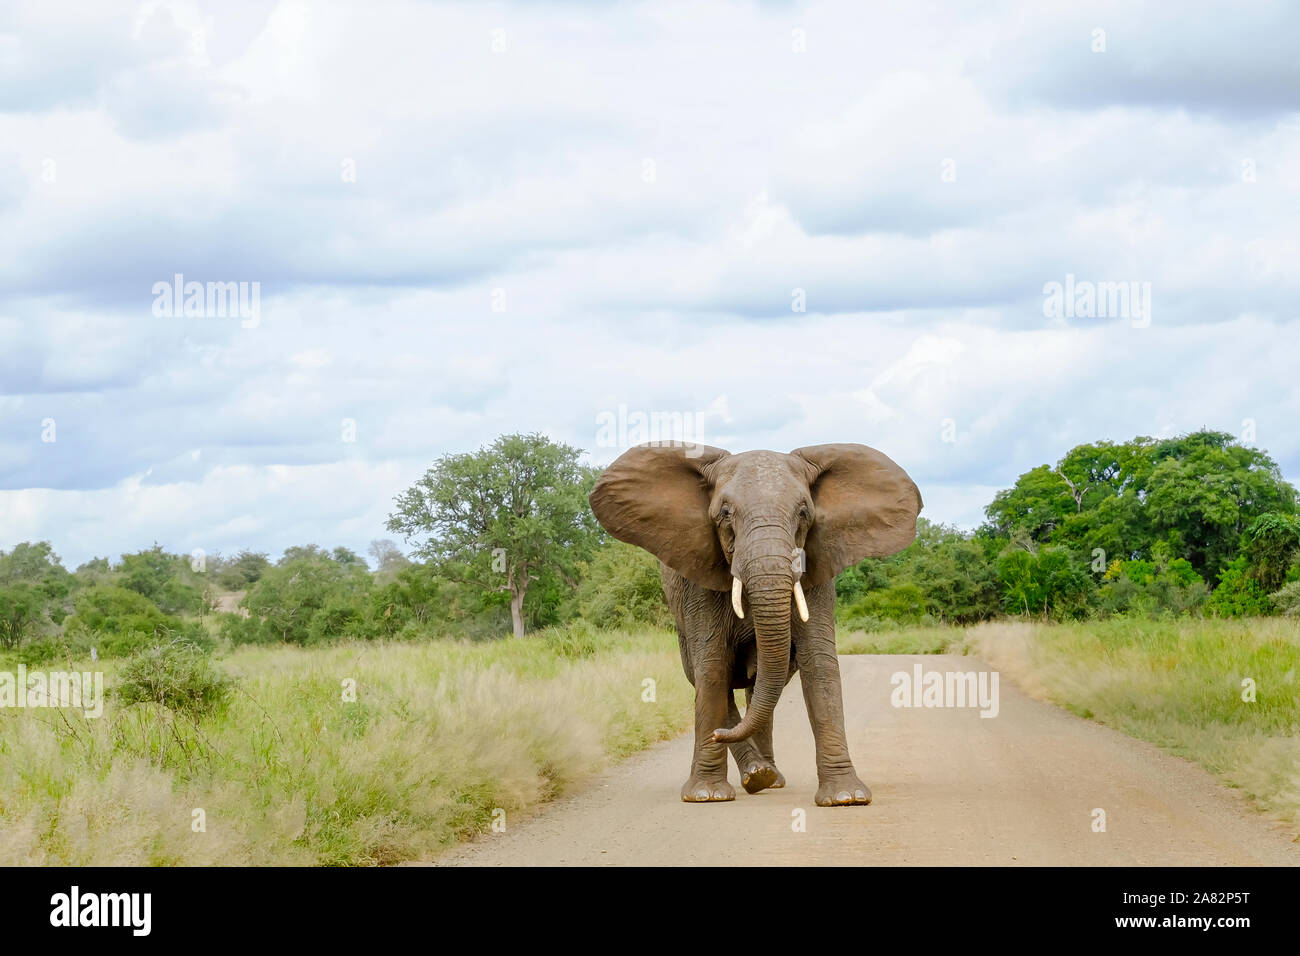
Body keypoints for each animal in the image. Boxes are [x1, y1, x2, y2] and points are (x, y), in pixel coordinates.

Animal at [589, 442, 922, 806]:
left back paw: (767, 777)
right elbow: (712, 665)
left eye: (804, 513)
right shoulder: (698, 583)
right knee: (707, 675)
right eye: (724, 513)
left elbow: (819, 663)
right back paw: (754, 773)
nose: (717, 736)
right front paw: (706, 795)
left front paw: (847, 797)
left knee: (758, 685)